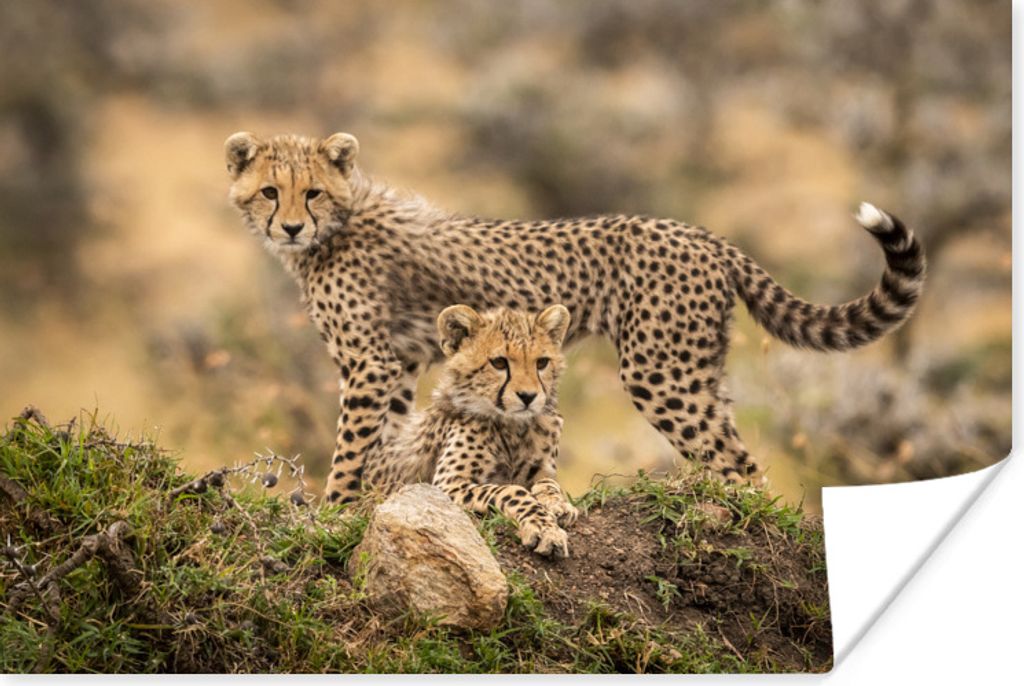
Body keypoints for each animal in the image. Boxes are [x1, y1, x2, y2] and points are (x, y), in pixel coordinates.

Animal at [224, 131, 926, 505]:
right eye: (270, 191)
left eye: (312, 192)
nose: (291, 226)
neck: (336, 227)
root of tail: (702, 234)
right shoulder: (400, 364)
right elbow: (389, 441)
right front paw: (375, 497)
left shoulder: (370, 363)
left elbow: (350, 448)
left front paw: (335, 509)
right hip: (698, 370)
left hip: (660, 372)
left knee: (739, 466)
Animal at [363, 303, 578, 557]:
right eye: (499, 363)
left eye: (542, 362)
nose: (528, 396)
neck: (513, 427)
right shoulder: (447, 484)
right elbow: (511, 491)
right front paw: (545, 529)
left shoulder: (541, 470)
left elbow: (549, 484)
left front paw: (560, 505)